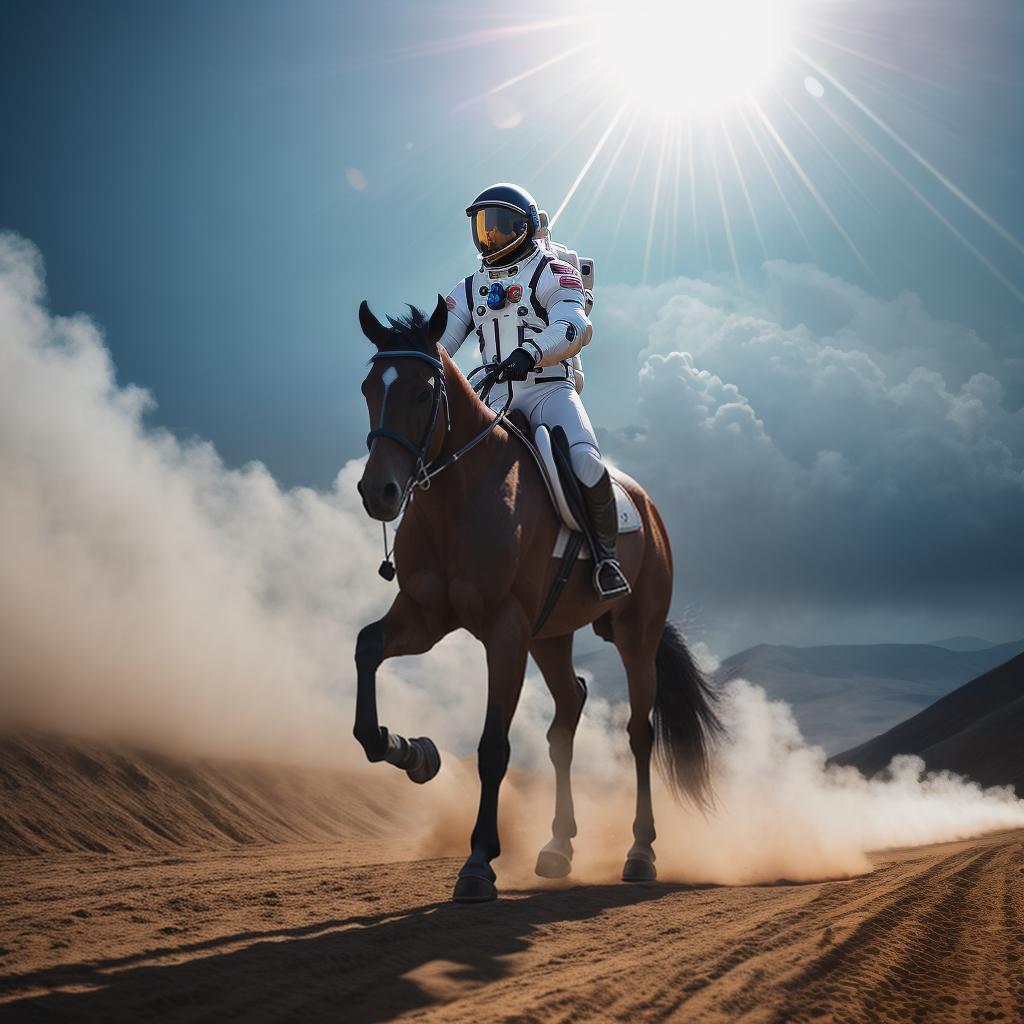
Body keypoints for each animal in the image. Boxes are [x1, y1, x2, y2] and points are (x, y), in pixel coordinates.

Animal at [352, 296, 720, 905]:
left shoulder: (504, 631)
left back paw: (640, 852)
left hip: (635, 634)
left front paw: (479, 862)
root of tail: (647, 508)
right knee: (567, 716)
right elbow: (366, 653)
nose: (378, 492)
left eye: (424, 393)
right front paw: (411, 750)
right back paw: (558, 846)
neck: (458, 495)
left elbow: (492, 747)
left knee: (639, 733)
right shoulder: (426, 616)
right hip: (551, 635)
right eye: (367, 389)